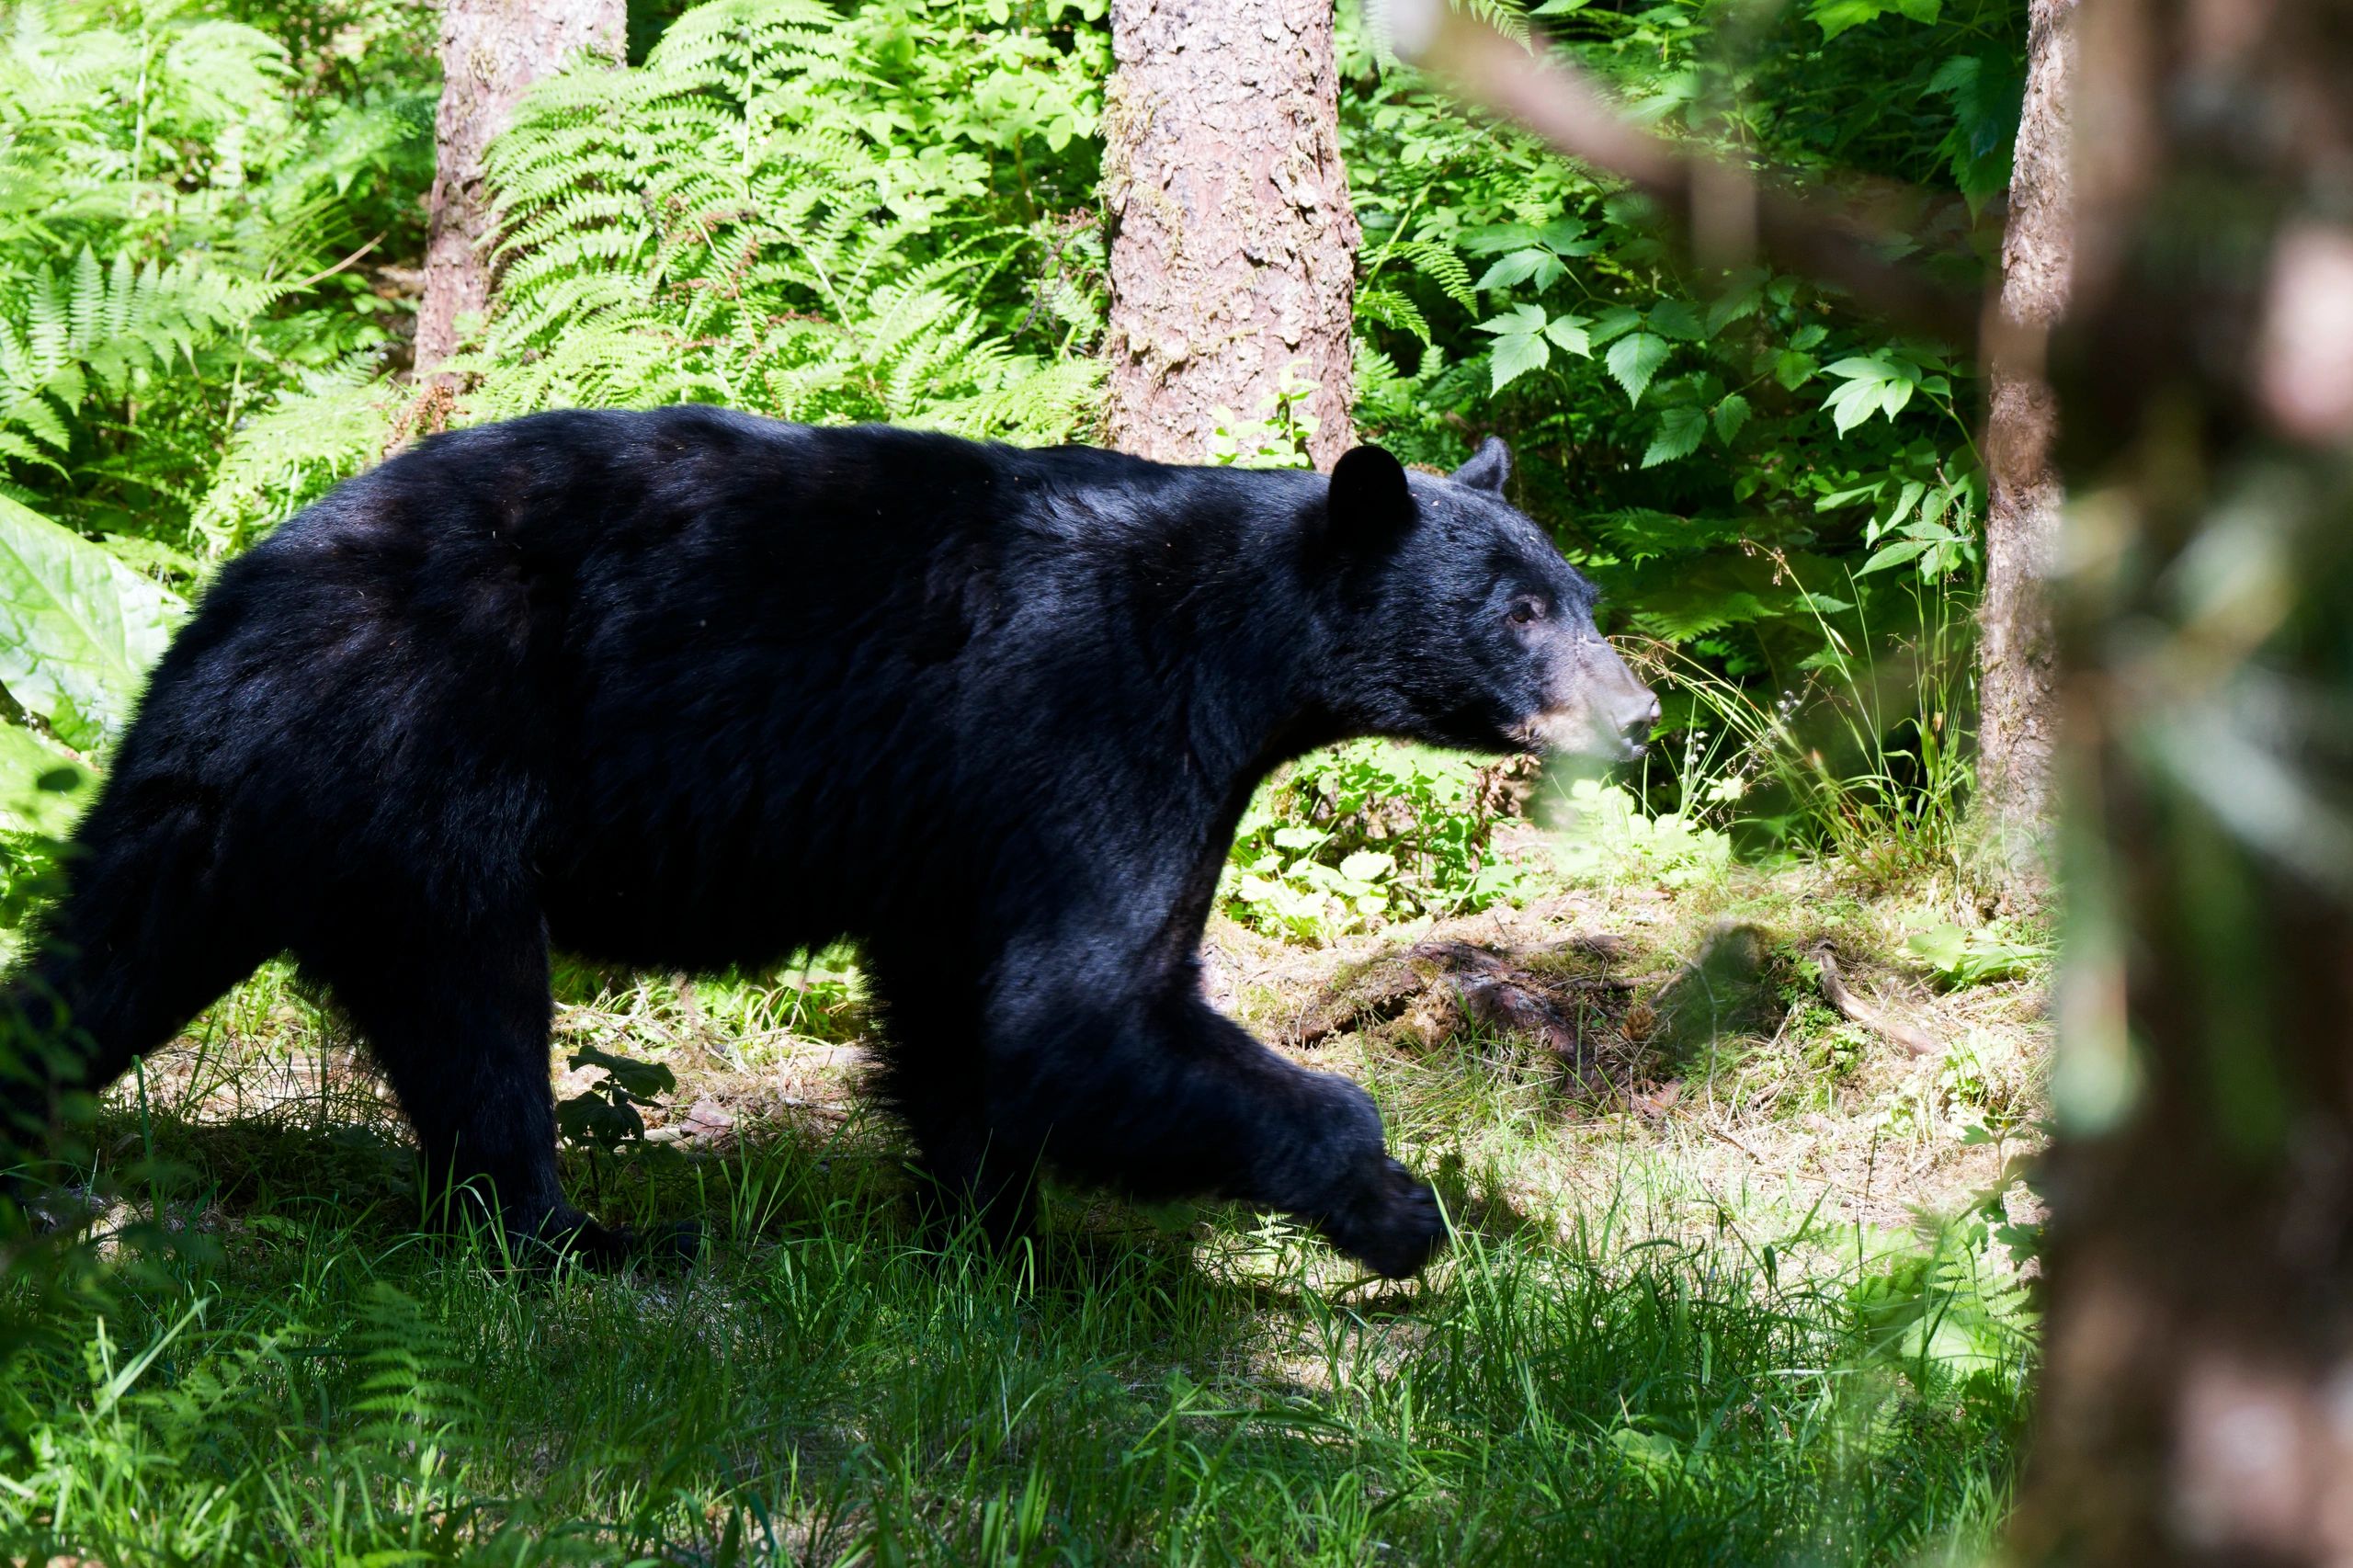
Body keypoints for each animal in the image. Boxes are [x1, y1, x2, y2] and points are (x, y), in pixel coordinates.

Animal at [1, 407, 1657, 1278]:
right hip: (428, 774)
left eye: (1577, 592)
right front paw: (1394, 1205)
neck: (1237, 635)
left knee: (104, 955)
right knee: (478, 1020)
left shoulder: (963, 827)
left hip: (226, 800)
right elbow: (1084, 1012)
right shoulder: (1095, 724)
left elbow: (966, 1018)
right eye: (1522, 610)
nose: (1638, 714)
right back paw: (585, 1238)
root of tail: (244, 595)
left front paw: (993, 1243)